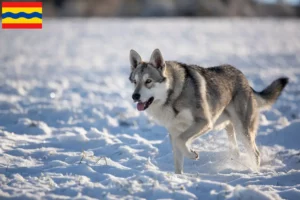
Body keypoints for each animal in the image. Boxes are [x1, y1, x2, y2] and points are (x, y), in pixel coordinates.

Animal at [128, 48, 288, 173]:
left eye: (148, 81)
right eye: (135, 82)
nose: (134, 96)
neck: (173, 97)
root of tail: (244, 79)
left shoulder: (204, 122)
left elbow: (181, 141)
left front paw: (192, 154)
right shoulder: (173, 132)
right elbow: (178, 161)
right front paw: (179, 179)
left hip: (243, 130)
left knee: (255, 153)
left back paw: (254, 172)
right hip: (227, 126)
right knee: (236, 151)